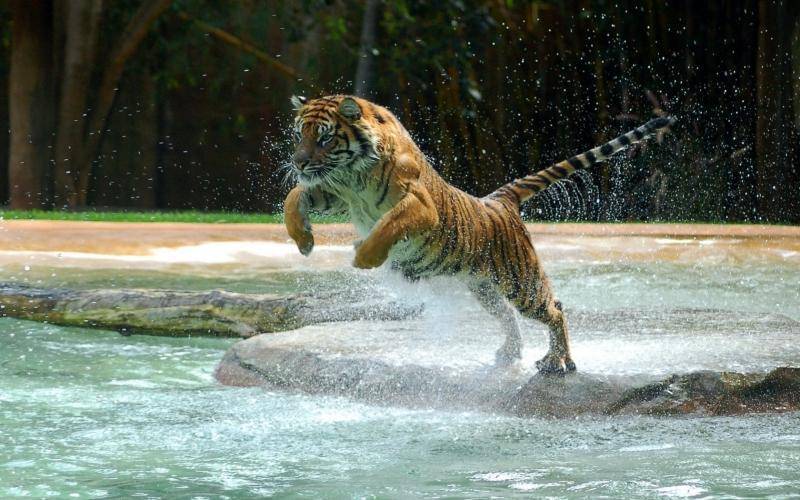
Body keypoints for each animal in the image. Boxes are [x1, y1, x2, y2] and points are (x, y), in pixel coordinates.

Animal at [284, 94, 672, 376]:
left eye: (324, 137)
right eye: (300, 135)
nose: (298, 162)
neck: (354, 174)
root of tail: (499, 200)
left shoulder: (419, 205)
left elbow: (388, 225)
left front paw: (364, 256)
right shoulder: (333, 191)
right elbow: (294, 197)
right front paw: (304, 240)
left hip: (522, 282)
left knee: (555, 309)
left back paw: (557, 362)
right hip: (484, 287)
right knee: (508, 317)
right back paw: (509, 355)